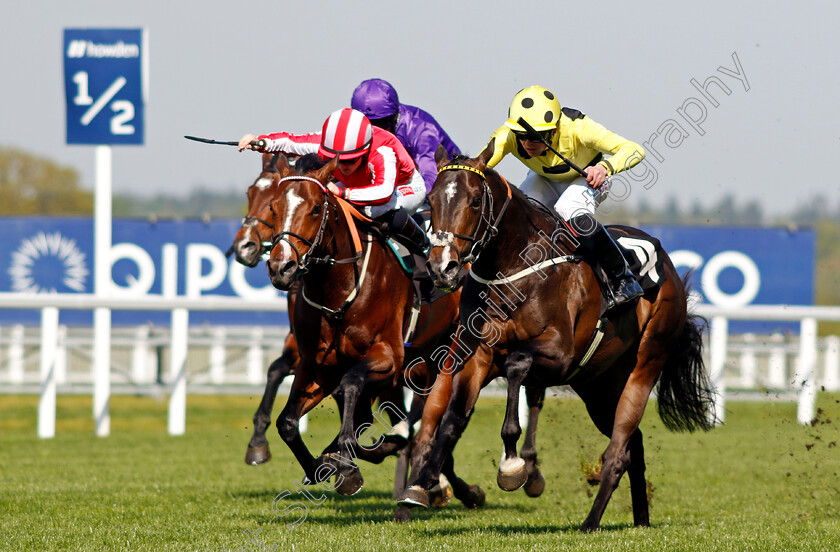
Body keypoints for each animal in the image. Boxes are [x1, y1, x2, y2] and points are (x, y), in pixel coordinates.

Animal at [398, 142, 712, 532]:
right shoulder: (478, 354)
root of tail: (668, 267)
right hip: (598, 383)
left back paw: (591, 521)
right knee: (633, 445)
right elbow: (453, 419)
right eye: (433, 199)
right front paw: (421, 486)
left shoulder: (558, 354)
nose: (443, 268)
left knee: (619, 449)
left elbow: (517, 366)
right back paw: (640, 518)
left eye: (474, 201)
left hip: (645, 364)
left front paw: (513, 466)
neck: (514, 267)